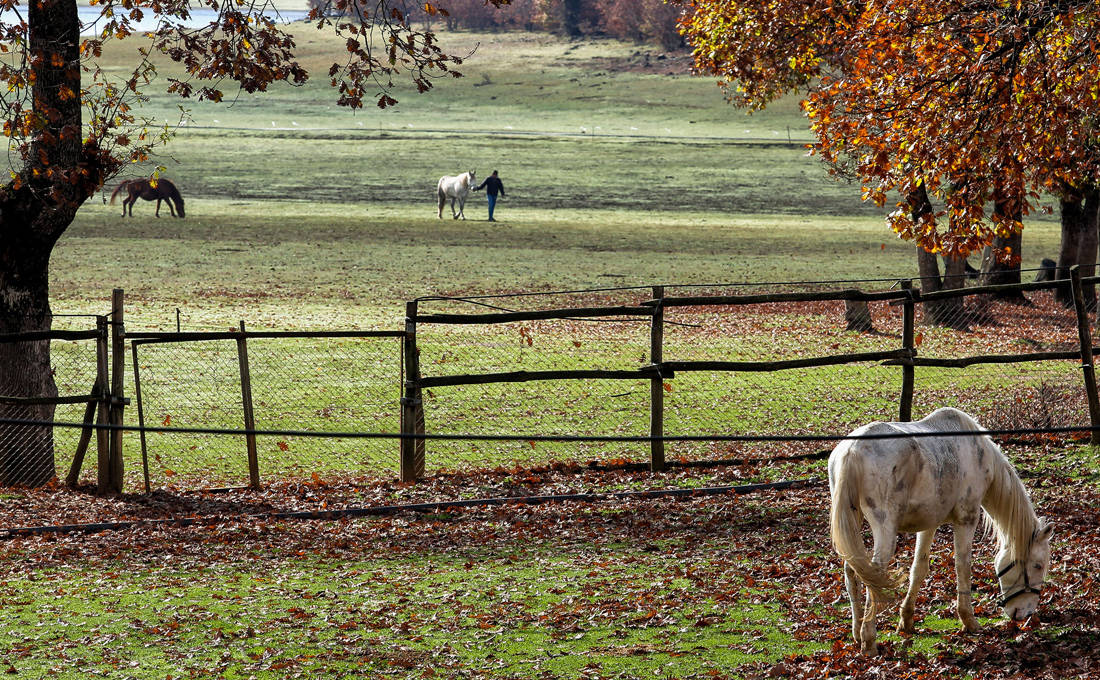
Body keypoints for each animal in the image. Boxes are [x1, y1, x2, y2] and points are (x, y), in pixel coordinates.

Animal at [827, 404, 1051, 655]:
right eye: (1038, 565)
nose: (1026, 614)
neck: (977, 450)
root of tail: (852, 450)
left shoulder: (929, 524)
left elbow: (919, 569)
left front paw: (906, 619)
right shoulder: (966, 519)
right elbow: (963, 567)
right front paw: (969, 620)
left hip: (852, 524)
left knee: (852, 571)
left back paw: (857, 632)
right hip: (885, 530)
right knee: (873, 576)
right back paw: (869, 640)